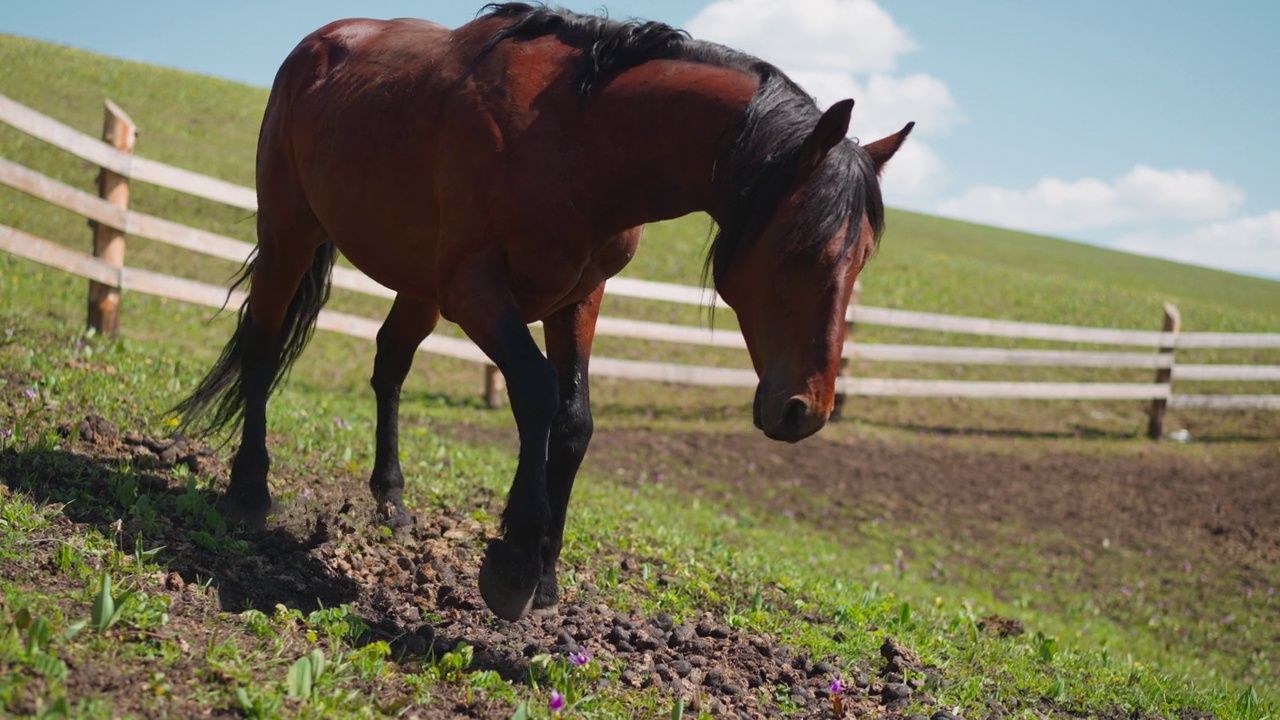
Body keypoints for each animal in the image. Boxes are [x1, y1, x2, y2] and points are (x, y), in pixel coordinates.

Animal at [175, 2, 916, 620]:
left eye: (861, 259)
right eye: (805, 248)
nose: (804, 410)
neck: (579, 140)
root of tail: (319, 43)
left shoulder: (577, 297)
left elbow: (574, 420)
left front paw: (548, 573)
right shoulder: (475, 289)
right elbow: (534, 391)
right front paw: (512, 565)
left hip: (418, 285)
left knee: (388, 365)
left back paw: (392, 498)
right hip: (291, 233)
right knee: (264, 345)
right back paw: (249, 490)